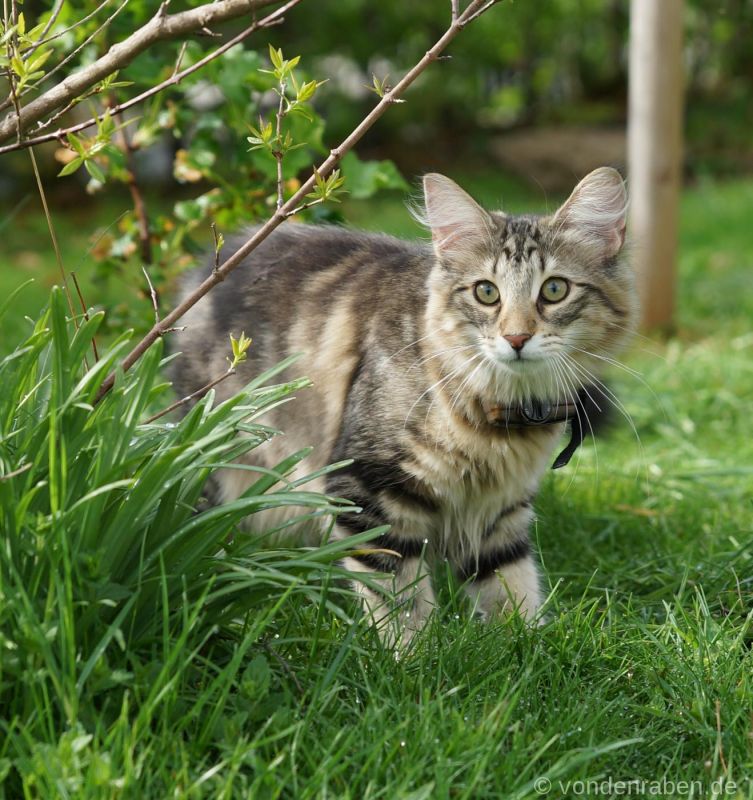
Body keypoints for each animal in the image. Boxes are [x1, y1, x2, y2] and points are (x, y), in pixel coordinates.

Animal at [175, 167, 636, 644]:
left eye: (555, 289)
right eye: (487, 293)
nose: (516, 338)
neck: (500, 414)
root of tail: (206, 271)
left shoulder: (500, 510)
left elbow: (511, 587)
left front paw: (525, 645)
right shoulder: (367, 489)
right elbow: (401, 598)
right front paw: (416, 654)